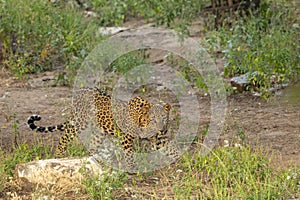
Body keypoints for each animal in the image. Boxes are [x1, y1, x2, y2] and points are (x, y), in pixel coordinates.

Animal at [28, 87, 175, 170]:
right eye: (153, 119)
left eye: (164, 118)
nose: (161, 129)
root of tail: (79, 92)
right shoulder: (126, 137)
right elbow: (129, 154)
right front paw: (131, 168)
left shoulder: (157, 139)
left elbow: (171, 149)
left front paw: (178, 160)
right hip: (79, 123)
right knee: (64, 138)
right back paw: (59, 157)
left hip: (99, 131)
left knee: (93, 144)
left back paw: (94, 159)